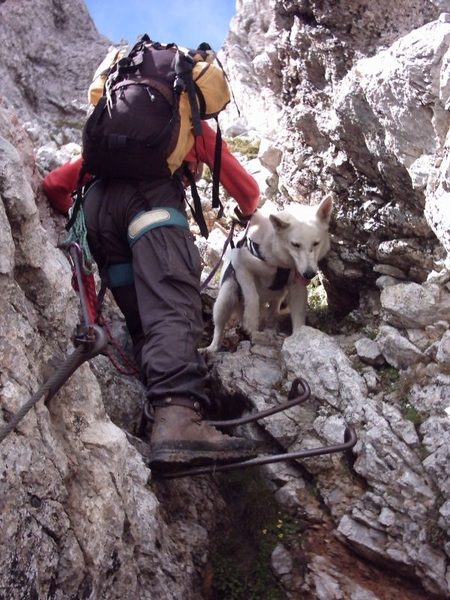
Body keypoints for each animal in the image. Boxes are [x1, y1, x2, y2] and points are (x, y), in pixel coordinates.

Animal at [206, 195, 332, 352]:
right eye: (295, 245)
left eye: (316, 243)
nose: (309, 274)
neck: (280, 260)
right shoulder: (241, 265)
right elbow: (252, 296)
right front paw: (251, 321)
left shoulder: (297, 287)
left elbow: (299, 315)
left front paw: (299, 338)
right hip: (226, 295)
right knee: (220, 324)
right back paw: (212, 347)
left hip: (278, 297)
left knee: (273, 311)